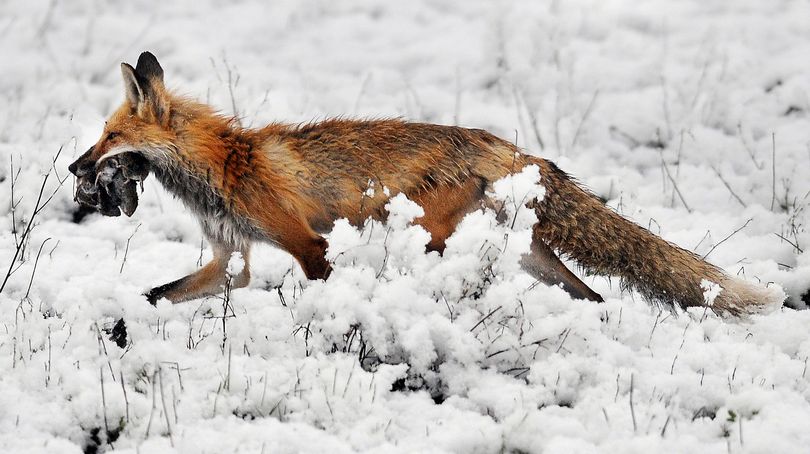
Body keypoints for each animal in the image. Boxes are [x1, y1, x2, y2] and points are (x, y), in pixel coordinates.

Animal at [71, 52, 784, 316]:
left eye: (108, 139)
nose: (77, 171)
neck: (225, 165)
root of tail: (500, 142)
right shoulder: (230, 261)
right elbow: (159, 294)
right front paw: (122, 327)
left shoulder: (306, 244)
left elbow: (320, 284)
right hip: (532, 256)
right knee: (591, 294)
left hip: (433, 238)